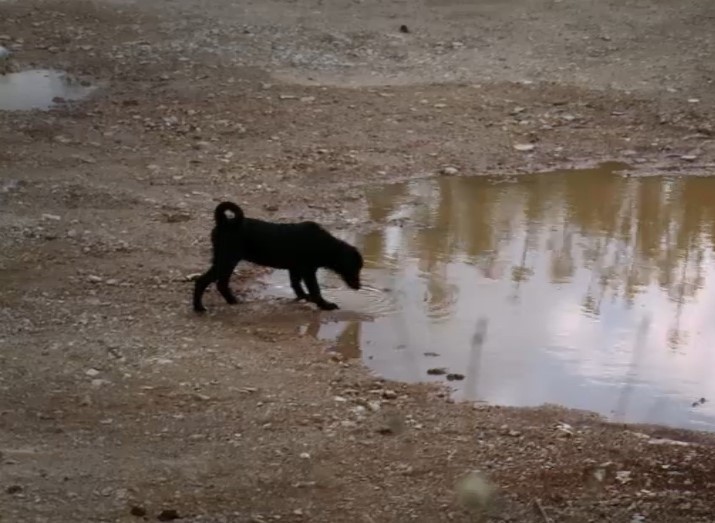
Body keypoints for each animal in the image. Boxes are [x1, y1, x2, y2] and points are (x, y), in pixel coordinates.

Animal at [193, 203, 364, 314]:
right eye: (355, 267)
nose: (358, 287)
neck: (325, 245)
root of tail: (225, 223)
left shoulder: (295, 268)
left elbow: (296, 285)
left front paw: (304, 297)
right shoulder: (308, 271)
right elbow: (315, 290)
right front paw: (325, 305)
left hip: (222, 260)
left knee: (213, 282)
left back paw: (224, 302)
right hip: (227, 260)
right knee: (209, 281)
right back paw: (201, 307)